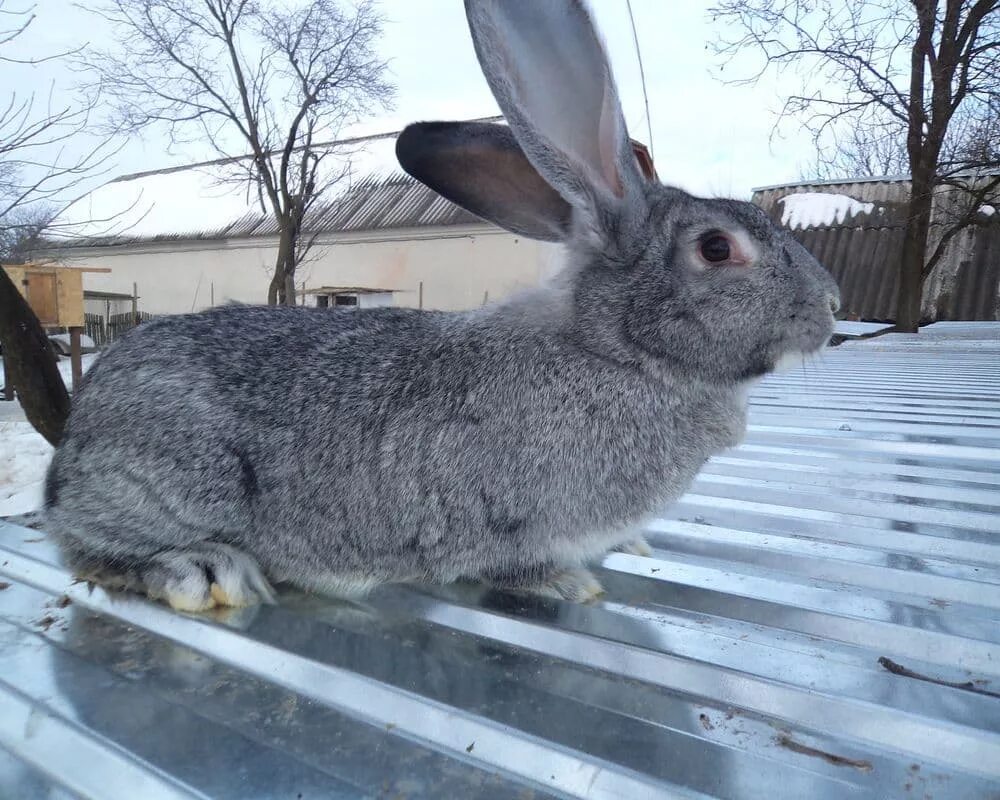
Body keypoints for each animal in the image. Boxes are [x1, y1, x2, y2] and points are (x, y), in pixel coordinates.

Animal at [41, 0, 836, 612]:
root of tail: (78, 436)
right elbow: (506, 562)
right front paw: (569, 583)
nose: (830, 305)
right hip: (173, 482)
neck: (616, 349)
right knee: (82, 542)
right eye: (716, 248)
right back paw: (200, 569)